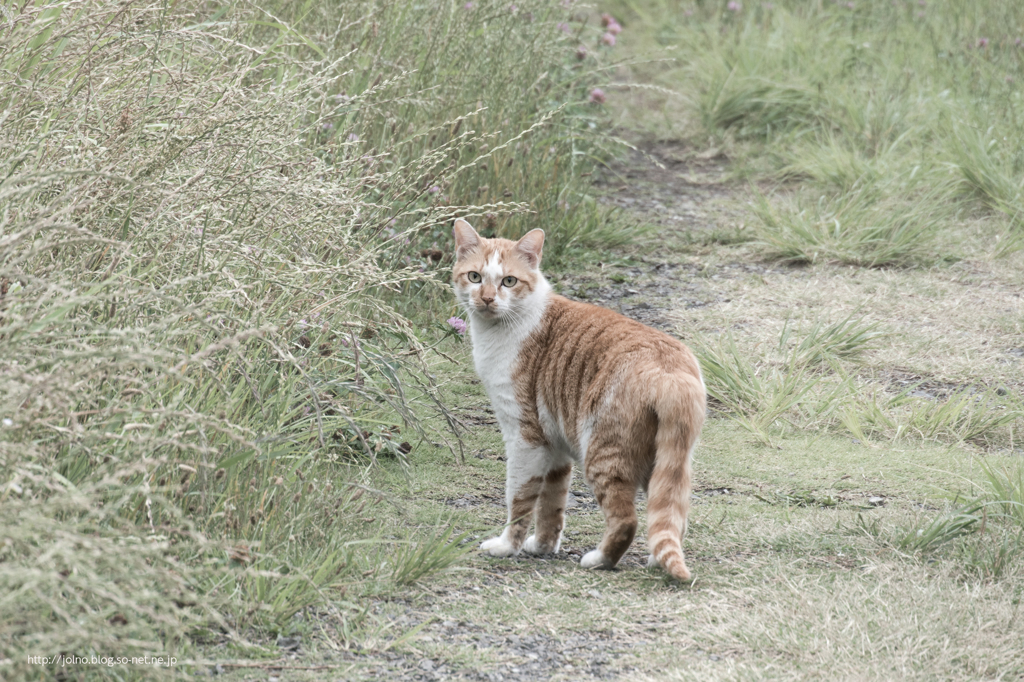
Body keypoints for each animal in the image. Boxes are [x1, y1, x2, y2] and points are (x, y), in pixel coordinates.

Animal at [452, 218, 708, 577]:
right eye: (475, 277)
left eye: (508, 281)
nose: (487, 299)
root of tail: (670, 369)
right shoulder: (555, 443)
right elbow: (551, 504)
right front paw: (542, 546)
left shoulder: (524, 437)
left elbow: (519, 499)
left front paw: (507, 546)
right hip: (668, 463)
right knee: (673, 515)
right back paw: (656, 559)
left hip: (602, 453)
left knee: (626, 520)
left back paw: (600, 559)